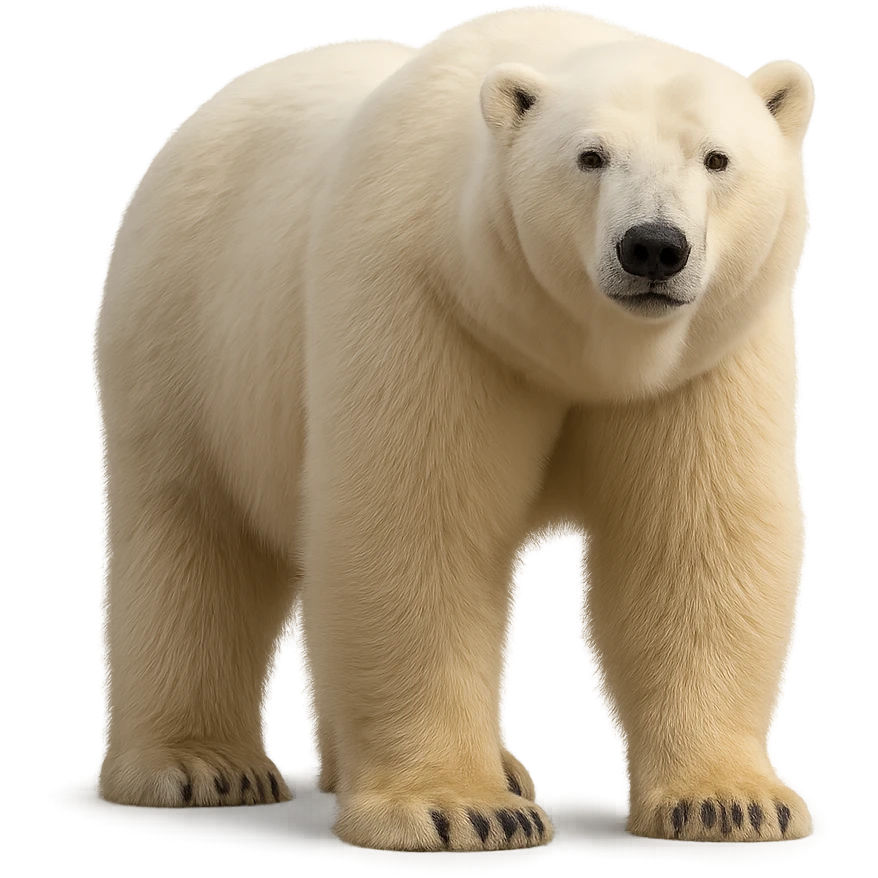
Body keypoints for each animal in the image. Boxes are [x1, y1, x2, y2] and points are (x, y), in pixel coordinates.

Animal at [89, 3, 816, 853]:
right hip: (185, 336)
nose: (652, 246)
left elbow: (695, 538)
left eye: (716, 157)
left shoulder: (706, 353)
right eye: (590, 156)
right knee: (190, 536)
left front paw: (732, 804)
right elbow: (417, 527)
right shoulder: (430, 299)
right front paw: (459, 809)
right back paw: (201, 765)